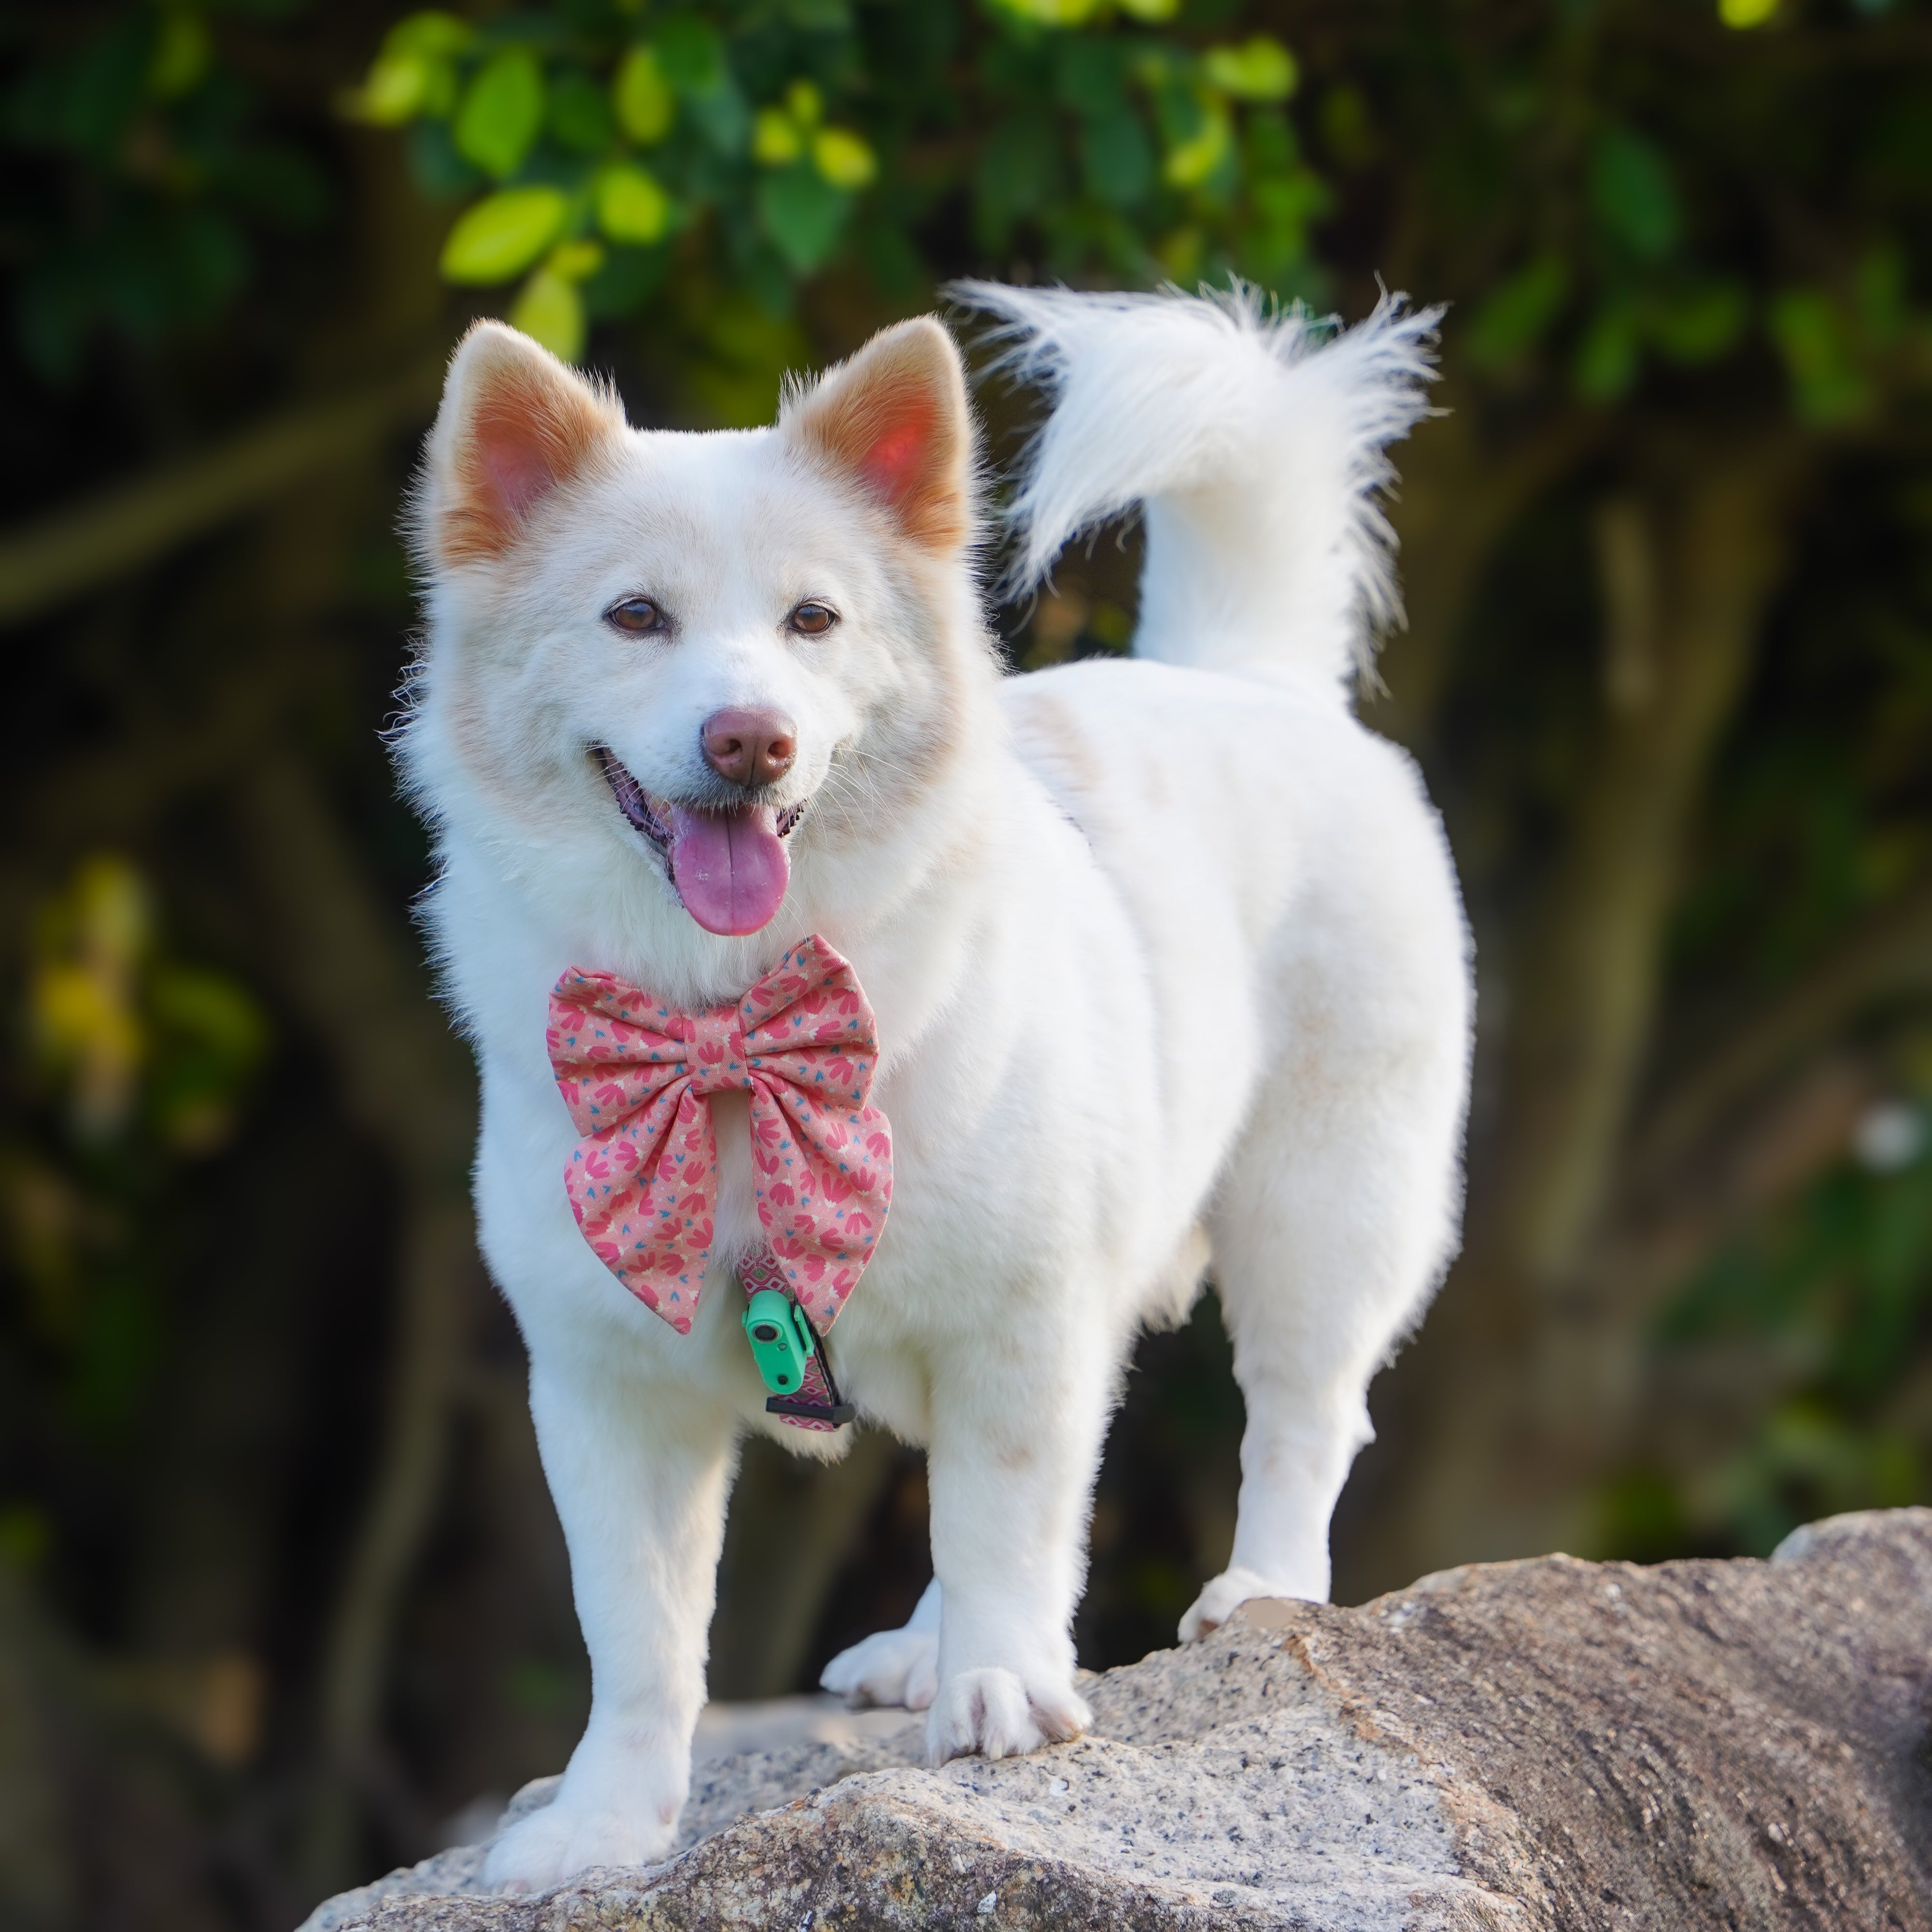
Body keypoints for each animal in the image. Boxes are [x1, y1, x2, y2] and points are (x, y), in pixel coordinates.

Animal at [400, 286, 1468, 1886]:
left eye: (813, 620)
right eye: (635, 617)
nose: (750, 737)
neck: (731, 1023)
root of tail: (1243, 677)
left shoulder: (1022, 1316)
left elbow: (1010, 1515)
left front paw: (1004, 1689)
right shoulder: (608, 1387)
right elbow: (638, 1630)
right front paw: (604, 1821)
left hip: (1323, 1209)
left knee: (1301, 1413)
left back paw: (1257, 1587)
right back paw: (918, 1647)